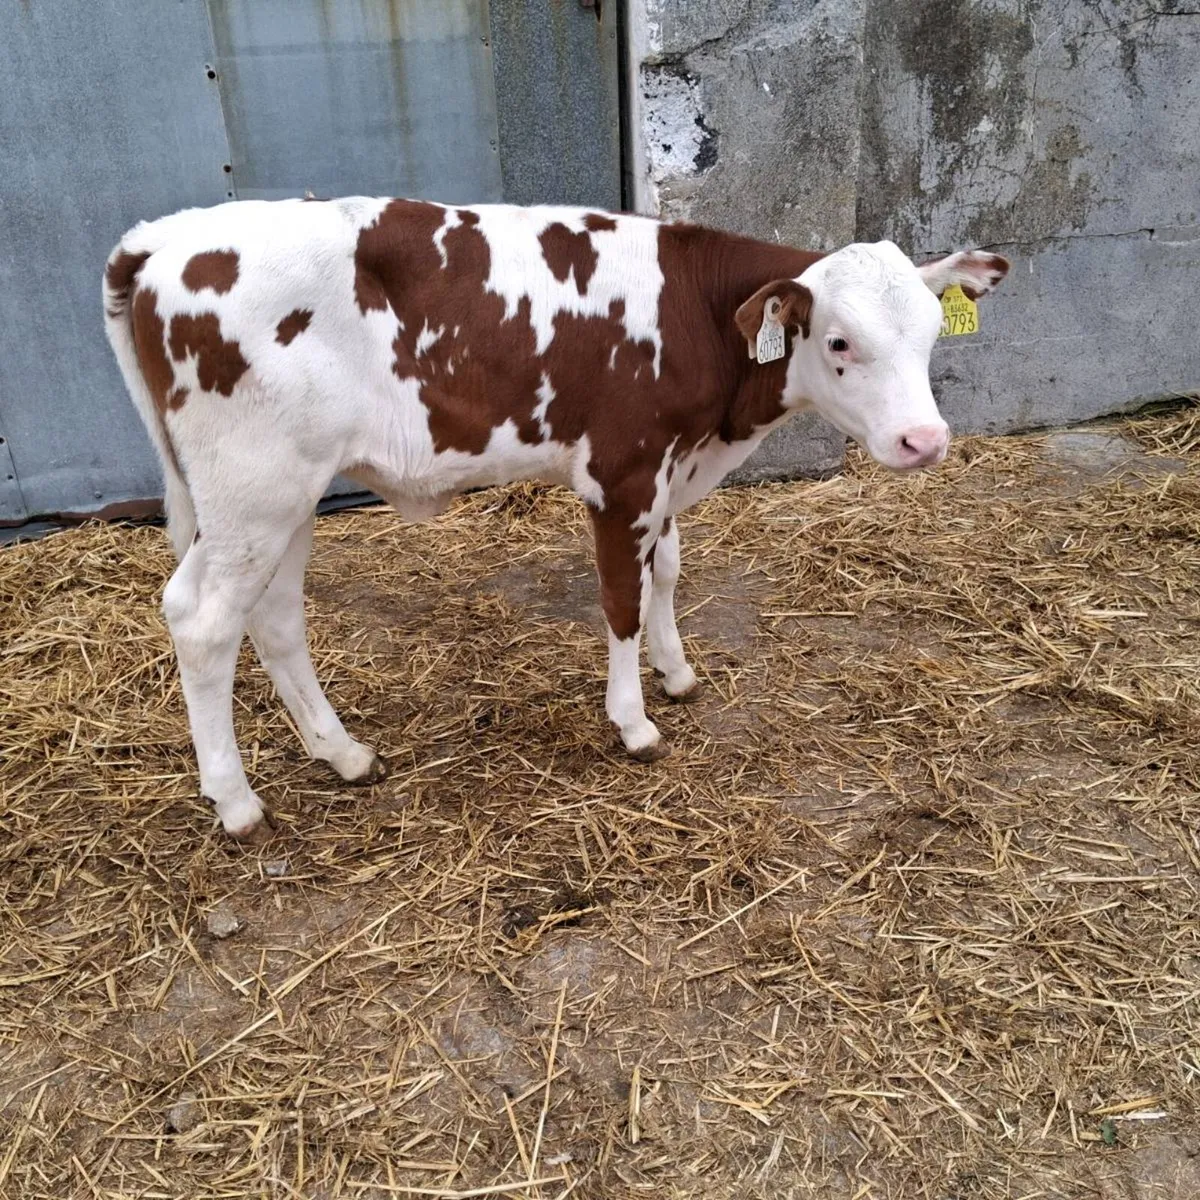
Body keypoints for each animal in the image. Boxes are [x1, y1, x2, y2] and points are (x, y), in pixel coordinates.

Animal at [103, 197, 1008, 839]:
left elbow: (666, 570)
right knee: (203, 621)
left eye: (934, 332)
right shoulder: (622, 470)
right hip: (253, 487)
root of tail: (161, 238)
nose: (924, 440)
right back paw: (235, 803)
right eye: (840, 341)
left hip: (285, 494)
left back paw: (344, 754)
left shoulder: (666, 469)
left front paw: (677, 673)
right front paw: (634, 722)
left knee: (276, 616)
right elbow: (621, 599)